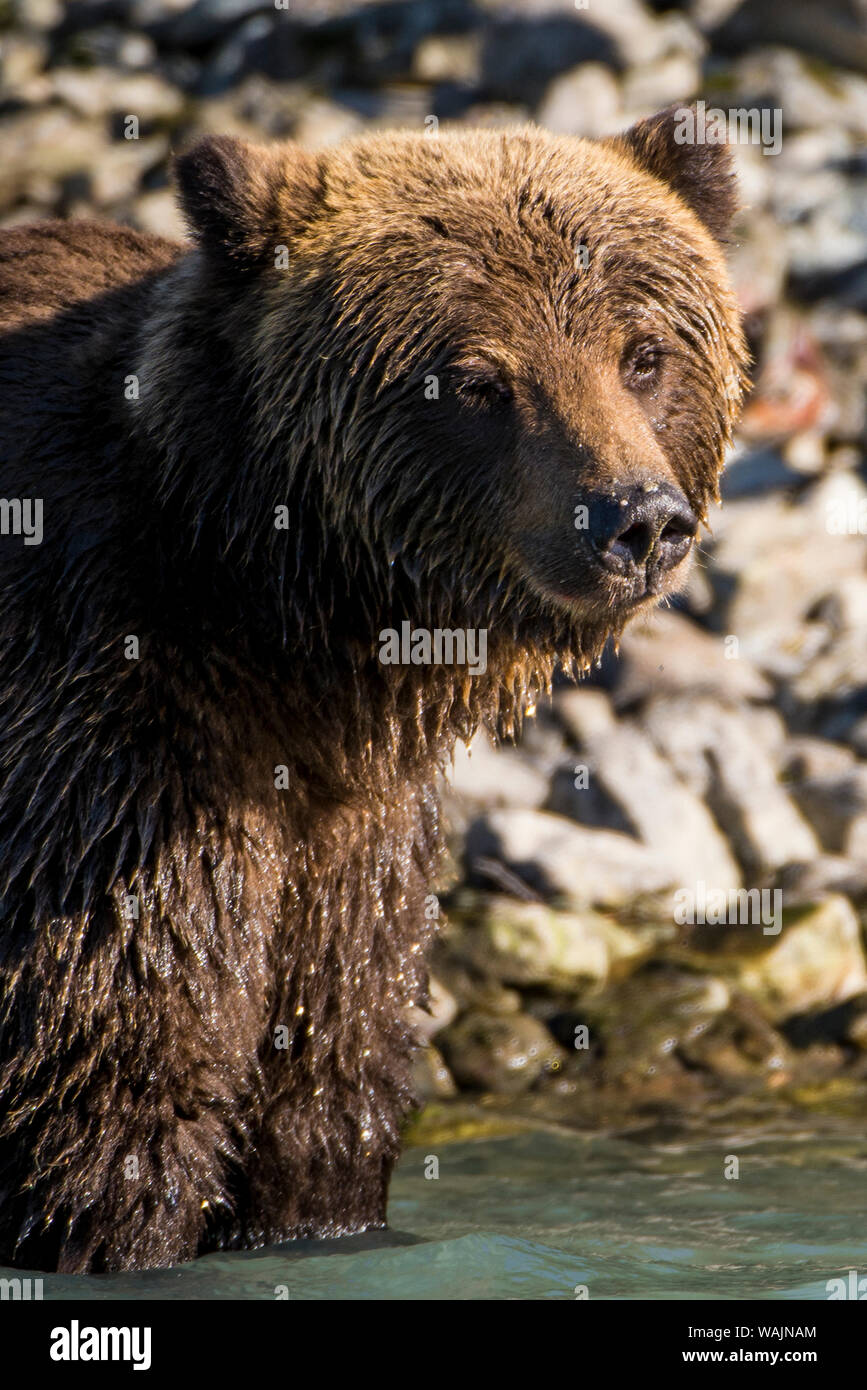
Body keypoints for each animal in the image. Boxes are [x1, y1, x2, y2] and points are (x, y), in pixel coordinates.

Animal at [0, 113, 744, 1273]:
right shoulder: (109, 751)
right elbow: (118, 1070)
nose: (636, 518)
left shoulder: (354, 837)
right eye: (478, 379)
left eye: (644, 353)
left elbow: (325, 1081)